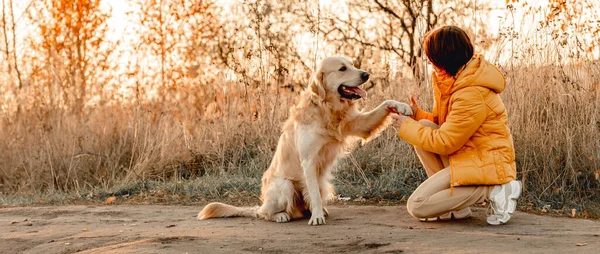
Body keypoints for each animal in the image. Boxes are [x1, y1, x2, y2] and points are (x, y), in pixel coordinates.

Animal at [197, 56, 412, 225]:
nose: (366, 74)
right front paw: (316, 217)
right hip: (285, 186)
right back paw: (281, 215)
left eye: (352, 64)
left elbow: (385, 104)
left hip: (324, 183)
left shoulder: (358, 124)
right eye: (342, 68)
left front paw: (401, 106)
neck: (326, 109)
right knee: (264, 213)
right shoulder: (309, 161)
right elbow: (314, 195)